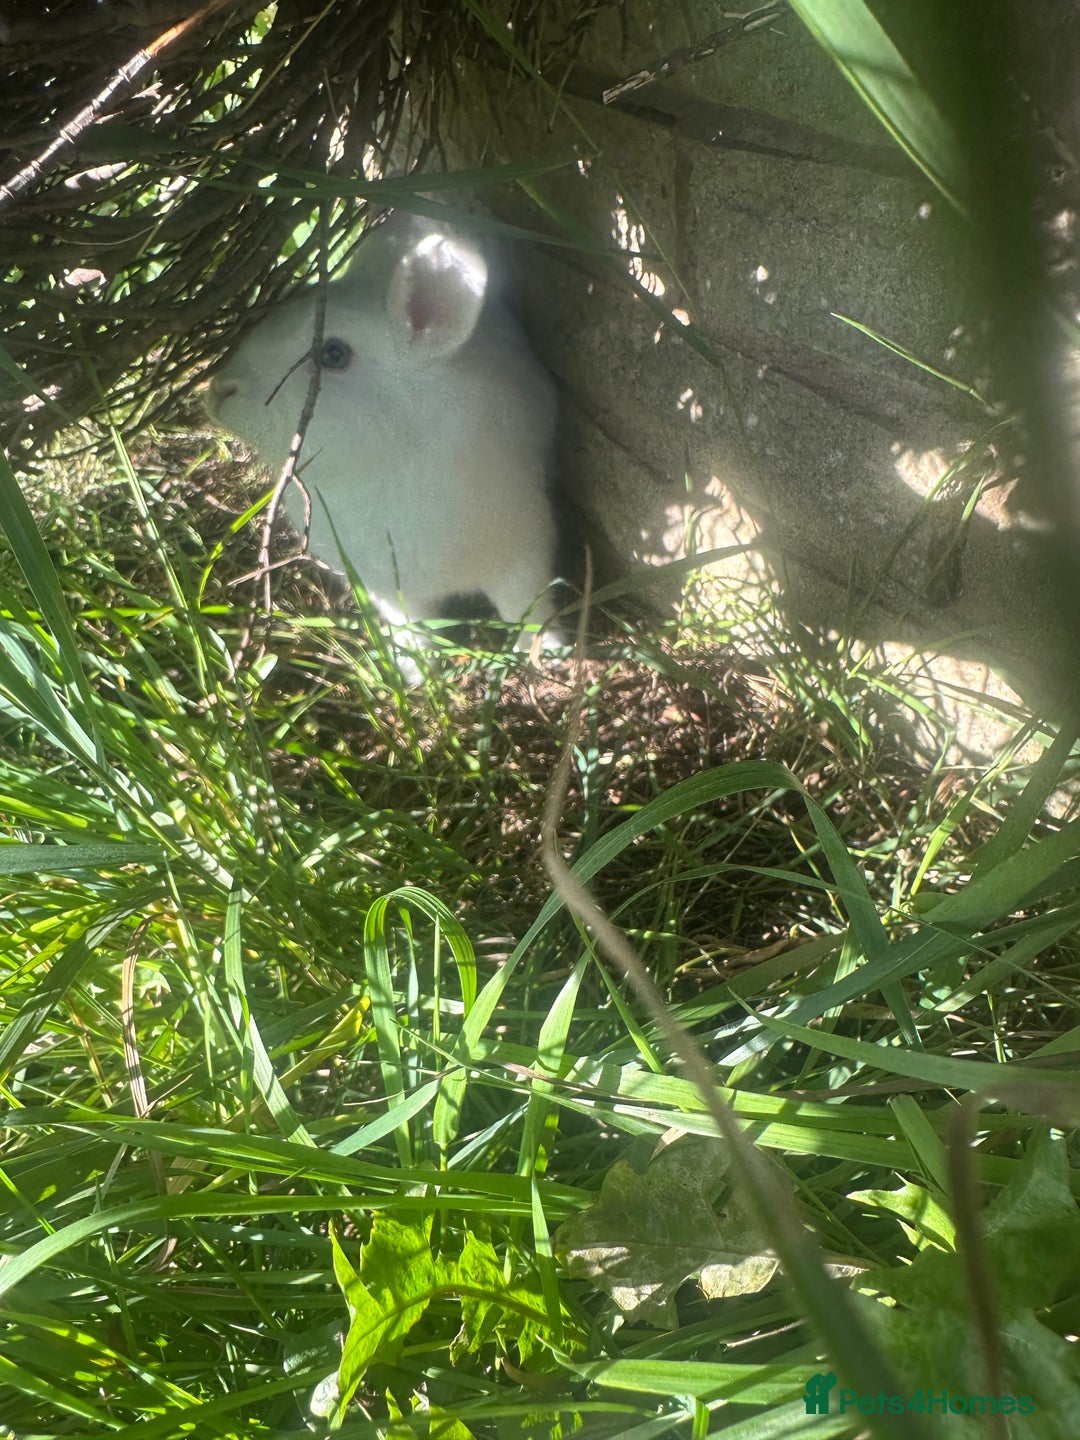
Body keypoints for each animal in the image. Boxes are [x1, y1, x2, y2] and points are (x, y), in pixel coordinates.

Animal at [207, 217, 562, 671]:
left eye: (334, 353)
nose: (219, 390)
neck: (384, 468)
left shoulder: (523, 559)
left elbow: (530, 610)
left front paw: (549, 654)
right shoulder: (389, 593)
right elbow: (412, 630)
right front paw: (418, 671)